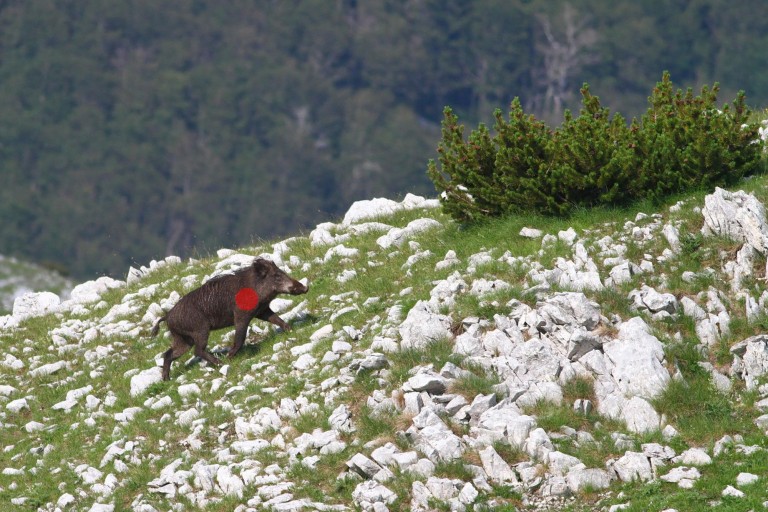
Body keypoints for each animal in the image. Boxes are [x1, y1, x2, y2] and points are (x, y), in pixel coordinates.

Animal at [150, 258, 308, 380]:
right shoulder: (241, 316)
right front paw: (230, 357)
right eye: (277, 276)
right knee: (197, 351)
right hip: (200, 330)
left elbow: (278, 320)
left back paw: (166, 379)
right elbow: (240, 338)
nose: (305, 288)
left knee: (169, 354)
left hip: (183, 339)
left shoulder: (262, 311)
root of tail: (168, 316)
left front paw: (291, 330)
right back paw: (220, 363)